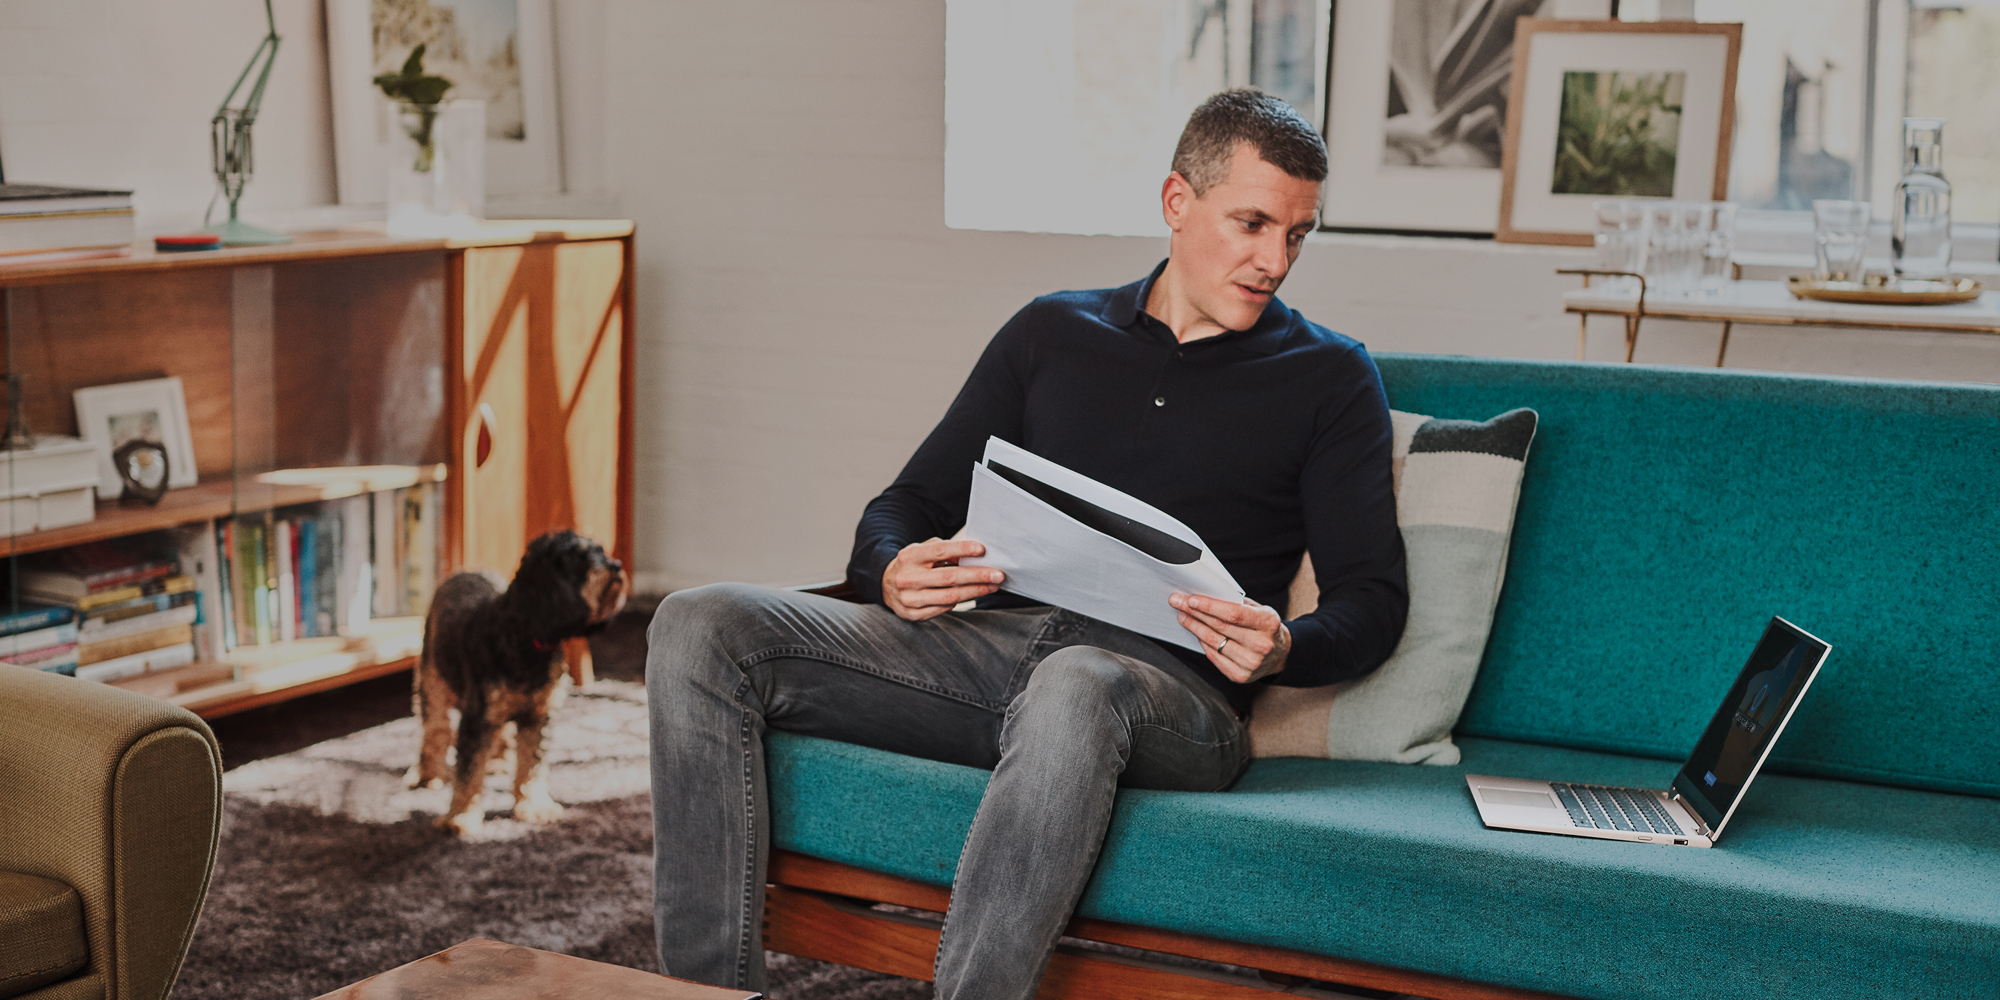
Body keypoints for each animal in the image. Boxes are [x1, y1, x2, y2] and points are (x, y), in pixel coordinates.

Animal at [406, 532, 624, 836]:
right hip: (433, 680)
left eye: (601, 551)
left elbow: (532, 765)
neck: (525, 636)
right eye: (577, 557)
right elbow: (468, 772)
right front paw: (460, 816)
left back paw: (498, 761)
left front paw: (534, 806)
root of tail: (464, 571)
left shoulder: (537, 716)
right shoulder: (478, 717)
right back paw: (429, 775)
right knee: (435, 730)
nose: (616, 565)